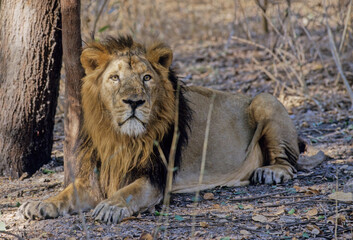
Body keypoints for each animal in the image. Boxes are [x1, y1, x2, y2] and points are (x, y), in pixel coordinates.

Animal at [19, 35, 298, 223]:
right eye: (114, 78)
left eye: (147, 78)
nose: (134, 101)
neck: (121, 138)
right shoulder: (95, 177)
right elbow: (67, 193)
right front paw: (40, 204)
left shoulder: (156, 177)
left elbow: (130, 191)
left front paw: (110, 206)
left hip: (264, 99)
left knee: (289, 163)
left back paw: (271, 172)